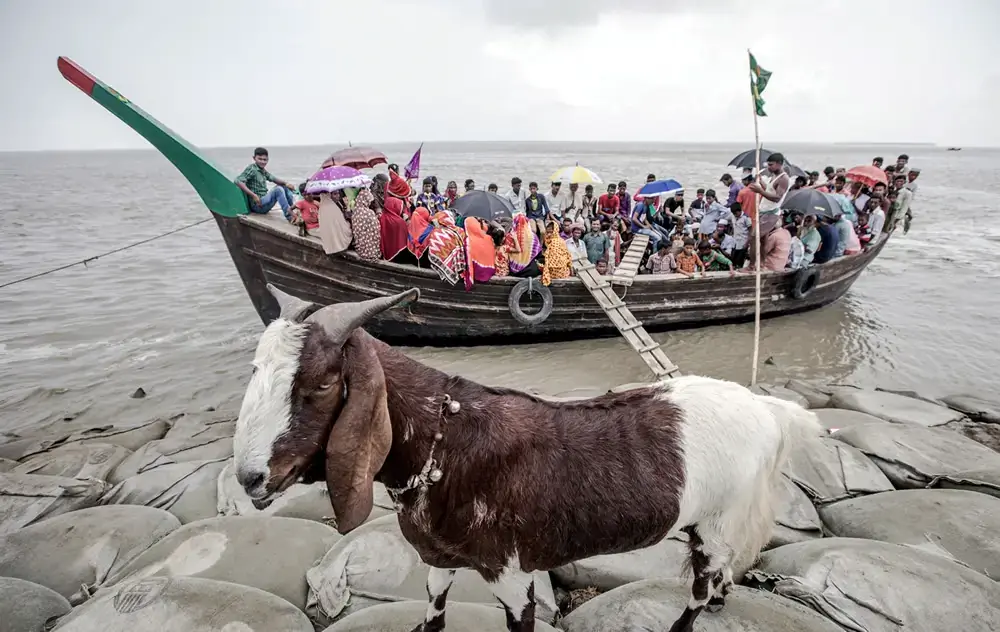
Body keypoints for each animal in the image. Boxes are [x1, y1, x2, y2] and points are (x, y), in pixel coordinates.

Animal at [232, 286, 820, 632]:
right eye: (255, 371)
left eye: (322, 383)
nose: (249, 477)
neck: (445, 442)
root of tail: (767, 409)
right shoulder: (442, 558)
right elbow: (434, 605)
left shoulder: (511, 575)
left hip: (721, 518)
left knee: (699, 585)